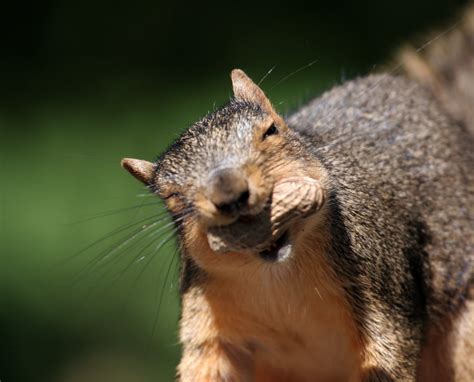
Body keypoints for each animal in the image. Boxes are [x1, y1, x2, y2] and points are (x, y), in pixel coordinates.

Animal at [121, 7, 470, 382]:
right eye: (170, 196)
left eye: (271, 131)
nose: (230, 195)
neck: (276, 277)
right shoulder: (211, 327)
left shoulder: (382, 281)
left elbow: (387, 354)